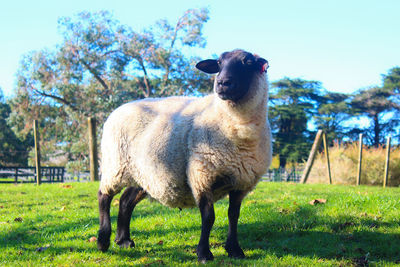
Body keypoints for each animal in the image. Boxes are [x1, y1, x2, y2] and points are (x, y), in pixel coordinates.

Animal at [97, 49, 272, 262]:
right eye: (219, 63)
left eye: (247, 62)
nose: (222, 83)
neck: (238, 131)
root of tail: (120, 108)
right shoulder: (201, 175)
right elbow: (209, 217)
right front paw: (204, 253)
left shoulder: (242, 182)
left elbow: (233, 215)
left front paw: (235, 250)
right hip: (115, 165)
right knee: (104, 196)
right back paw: (103, 240)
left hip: (143, 174)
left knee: (125, 201)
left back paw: (123, 240)